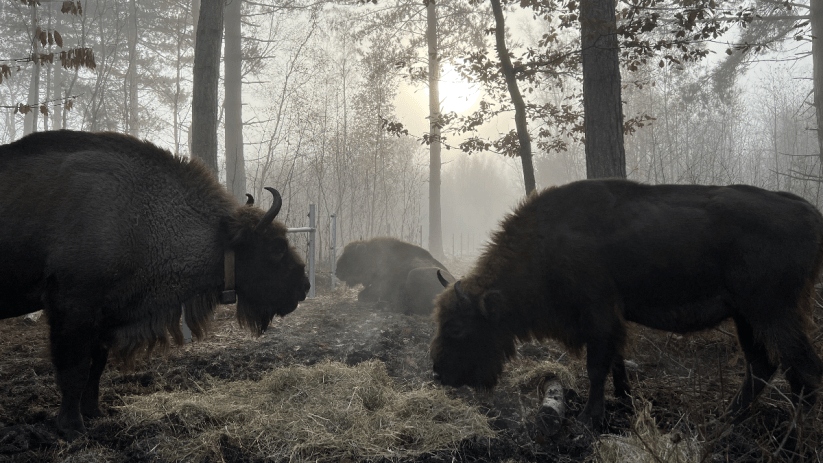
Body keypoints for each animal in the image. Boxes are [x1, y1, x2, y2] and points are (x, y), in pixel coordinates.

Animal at [0, 130, 311, 439]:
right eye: (276, 247)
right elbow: (74, 370)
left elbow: (96, 366)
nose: (304, 286)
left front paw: (94, 412)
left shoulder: (103, 316)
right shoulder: (71, 308)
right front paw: (73, 427)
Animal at [431, 179, 823, 428]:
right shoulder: (611, 321)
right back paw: (727, 418)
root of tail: (810, 212)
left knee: (801, 366)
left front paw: (589, 419)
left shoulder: (598, 315)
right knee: (763, 364)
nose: (439, 373)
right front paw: (624, 401)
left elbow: (596, 367)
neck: (545, 245)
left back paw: (796, 431)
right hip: (746, 316)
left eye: (457, 328)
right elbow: (616, 363)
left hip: (773, 312)